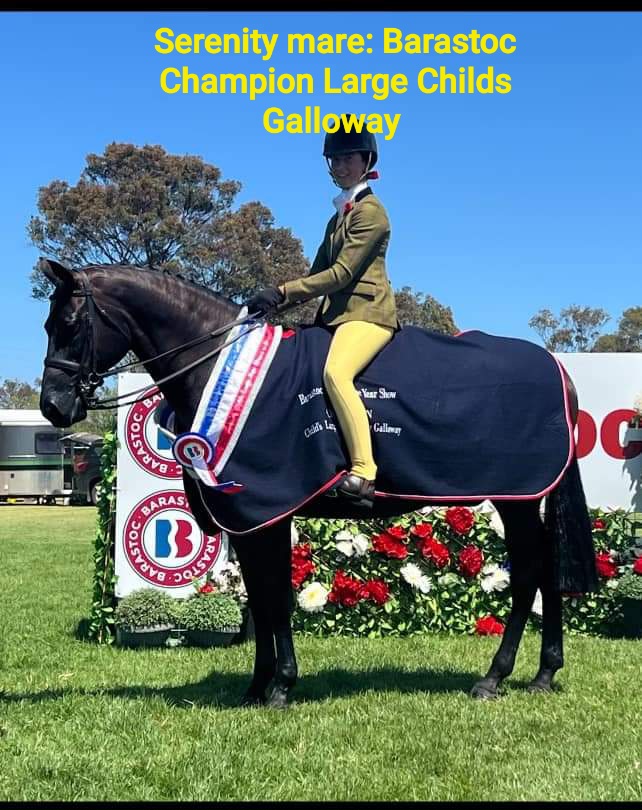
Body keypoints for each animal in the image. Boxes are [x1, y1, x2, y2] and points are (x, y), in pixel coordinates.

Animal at [38, 258, 598, 709]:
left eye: (69, 323)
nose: (55, 406)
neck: (222, 368)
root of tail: (556, 368)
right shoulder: (248, 522)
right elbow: (260, 600)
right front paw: (256, 686)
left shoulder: (267, 509)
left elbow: (275, 600)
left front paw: (281, 686)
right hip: (521, 498)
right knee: (544, 569)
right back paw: (542, 674)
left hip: (515, 497)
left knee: (530, 573)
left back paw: (495, 677)